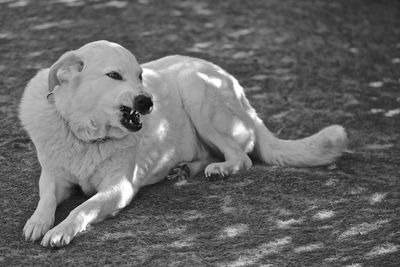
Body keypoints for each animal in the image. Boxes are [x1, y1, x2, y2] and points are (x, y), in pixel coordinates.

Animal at [20, 40, 348, 248]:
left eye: (140, 75)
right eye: (114, 75)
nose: (148, 101)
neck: (87, 134)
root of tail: (246, 101)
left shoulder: (119, 187)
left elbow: (82, 209)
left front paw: (61, 230)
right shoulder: (53, 177)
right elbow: (46, 198)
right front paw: (39, 221)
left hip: (195, 89)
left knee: (242, 157)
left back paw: (220, 169)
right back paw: (184, 168)